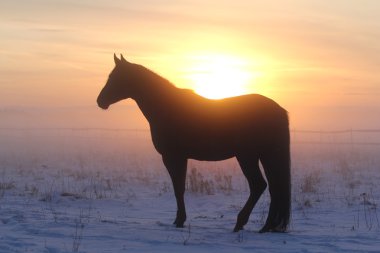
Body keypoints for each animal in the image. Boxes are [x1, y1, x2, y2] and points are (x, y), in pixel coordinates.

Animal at [97, 53, 290, 233]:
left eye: (116, 77)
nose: (100, 101)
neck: (167, 108)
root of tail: (278, 109)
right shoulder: (180, 158)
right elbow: (180, 187)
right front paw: (179, 220)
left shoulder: (173, 157)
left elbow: (178, 188)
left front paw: (179, 220)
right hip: (265, 155)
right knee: (274, 187)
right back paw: (266, 226)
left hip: (247, 156)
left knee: (259, 185)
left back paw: (241, 223)